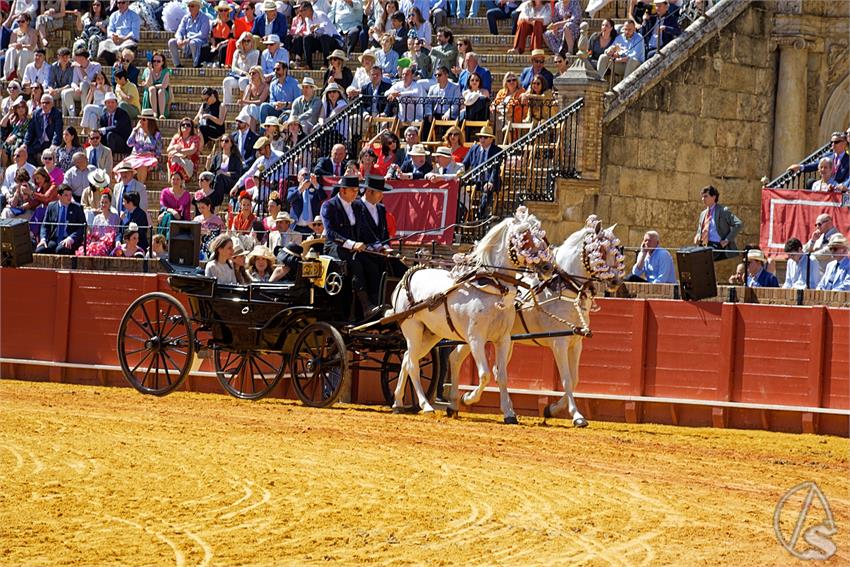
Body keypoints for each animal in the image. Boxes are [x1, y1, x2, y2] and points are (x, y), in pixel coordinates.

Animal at [390, 206, 552, 424]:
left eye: (541, 236)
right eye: (524, 238)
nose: (547, 266)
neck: (493, 285)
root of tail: (407, 277)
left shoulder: (503, 339)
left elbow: (502, 376)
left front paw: (509, 413)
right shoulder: (476, 338)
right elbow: (484, 375)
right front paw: (467, 398)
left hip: (431, 334)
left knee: (407, 359)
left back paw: (398, 403)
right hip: (412, 330)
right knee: (413, 364)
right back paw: (425, 405)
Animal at [444, 216, 624, 426]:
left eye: (616, 250)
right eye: (602, 250)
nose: (616, 282)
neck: (563, 288)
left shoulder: (576, 342)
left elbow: (575, 379)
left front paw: (551, 409)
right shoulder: (559, 343)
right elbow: (566, 379)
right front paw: (577, 416)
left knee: (483, 366)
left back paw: (460, 403)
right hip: (473, 335)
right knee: (457, 359)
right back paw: (461, 400)